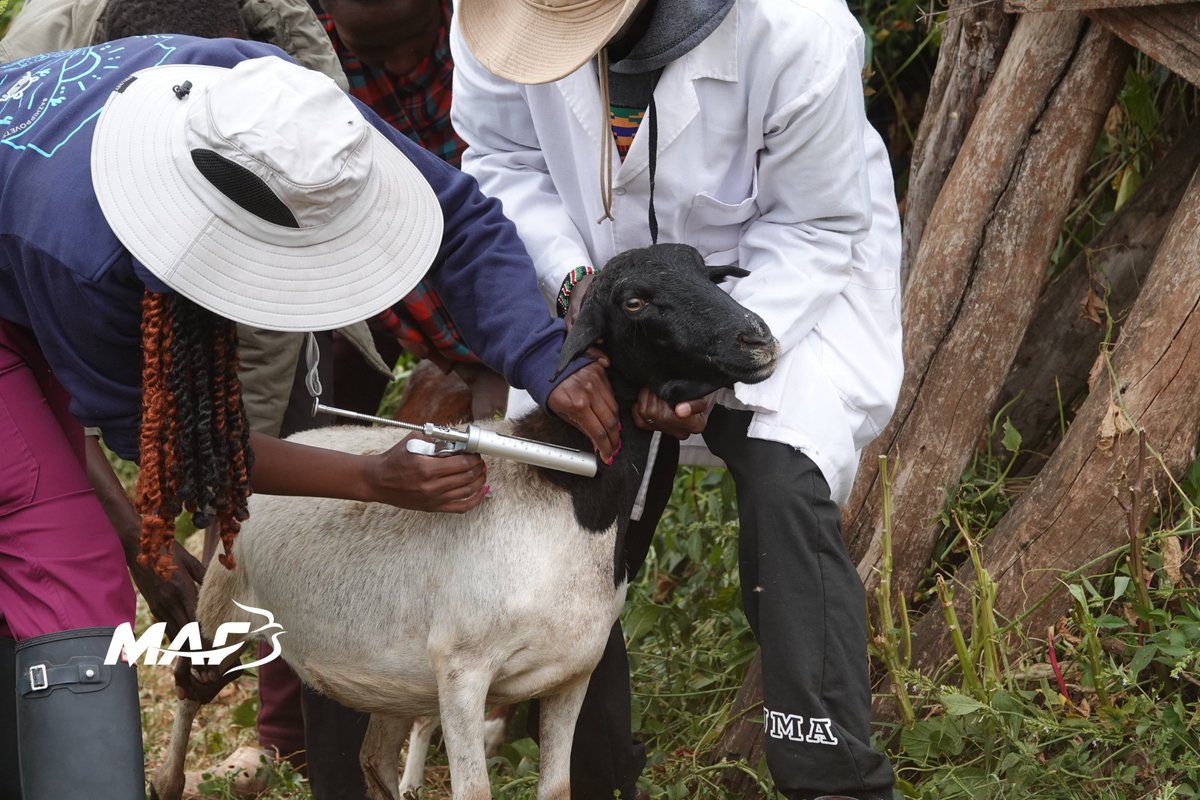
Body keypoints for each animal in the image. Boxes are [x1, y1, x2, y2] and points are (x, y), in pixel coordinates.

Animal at [150, 242, 777, 800]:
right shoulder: (462, 673)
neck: (568, 496)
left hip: (391, 680)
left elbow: (558, 788)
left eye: (708, 275)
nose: (759, 339)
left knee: (372, 756)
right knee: (190, 685)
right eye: (635, 301)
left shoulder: (571, 674)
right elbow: (474, 791)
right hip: (221, 608)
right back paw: (168, 781)